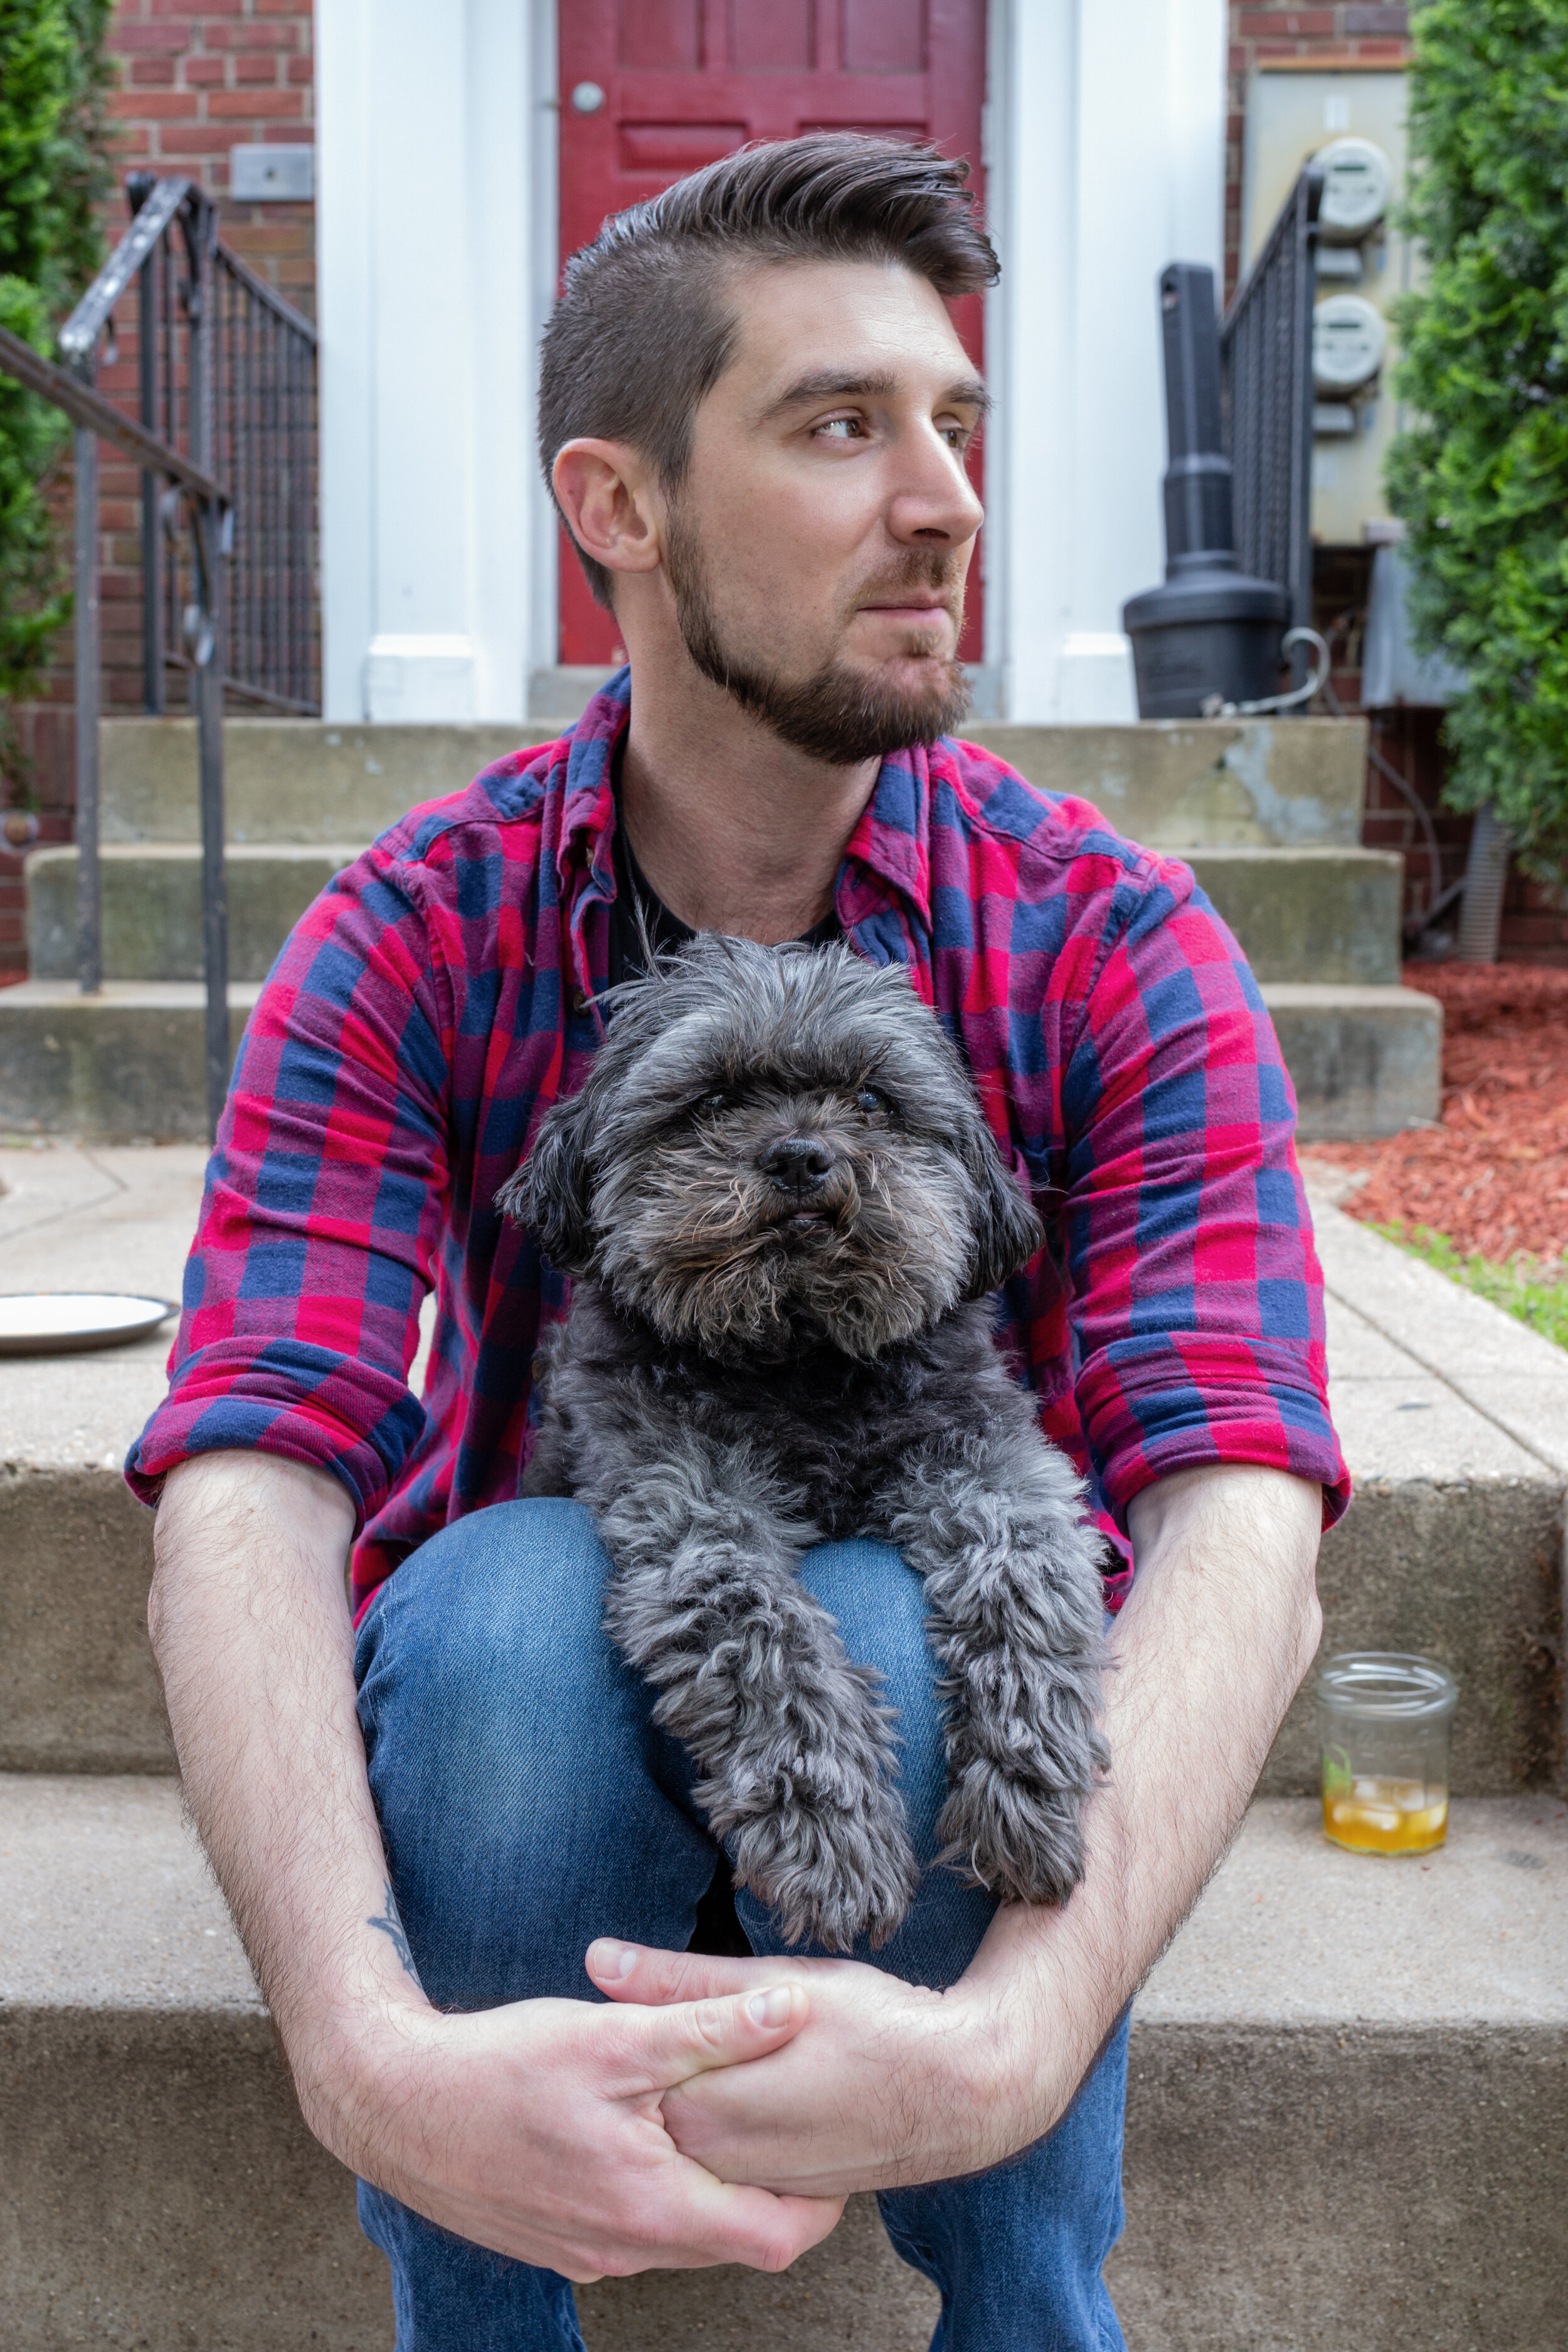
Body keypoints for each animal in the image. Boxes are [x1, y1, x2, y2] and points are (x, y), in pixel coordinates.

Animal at [495, 931, 1110, 1947]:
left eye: (872, 1100)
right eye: (710, 1100)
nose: (800, 1156)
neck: (800, 1359)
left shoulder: (985, 1452)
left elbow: (1023, 1568)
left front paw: (1028, 1783)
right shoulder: (686, 1497)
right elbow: (757, 1633)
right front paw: (829, 1829)